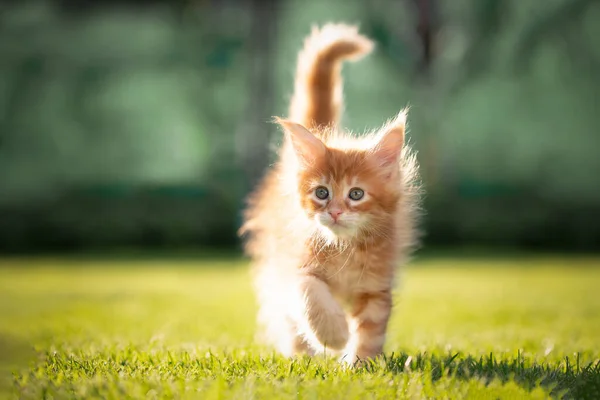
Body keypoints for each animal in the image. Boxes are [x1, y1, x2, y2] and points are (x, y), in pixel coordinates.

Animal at [240, 22, 422, 366]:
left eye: (356, 194)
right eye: (322, 192)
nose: (335, 211)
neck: (344, 250)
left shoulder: (376, 287)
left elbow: (370, 330)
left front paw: (359, 364)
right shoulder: (293, 268)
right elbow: (310, 295)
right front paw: (335, 335)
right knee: (288, 322)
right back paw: (302, 356)